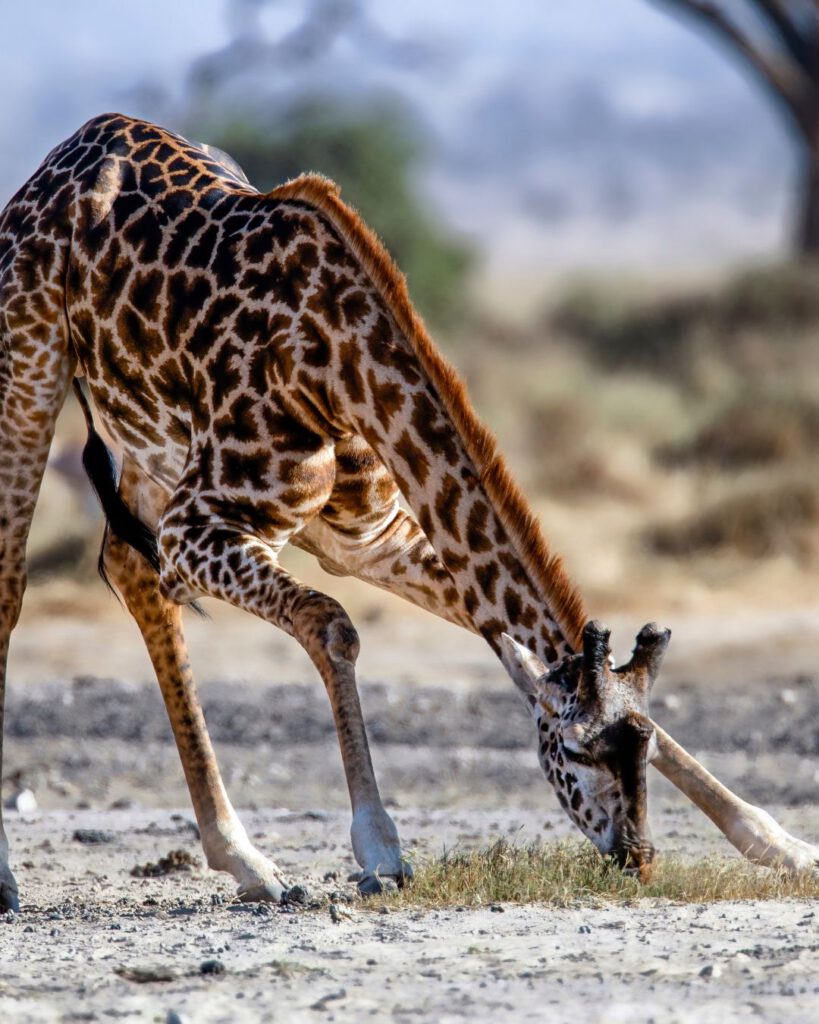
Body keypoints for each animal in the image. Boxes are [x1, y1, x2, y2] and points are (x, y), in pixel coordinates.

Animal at [0, 114, 814, 913]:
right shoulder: (197, 528)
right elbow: (332, 625)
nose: (638, 860)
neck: (338, 365)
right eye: (579, 752)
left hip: (147, 449)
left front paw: (780, 845)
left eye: (638, 749)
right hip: (30, 369)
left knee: (128, 568)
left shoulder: (371, 538)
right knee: (14, 588)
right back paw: (17, 875)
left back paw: (245, 861)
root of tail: (67, 153)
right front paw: (381, 851)